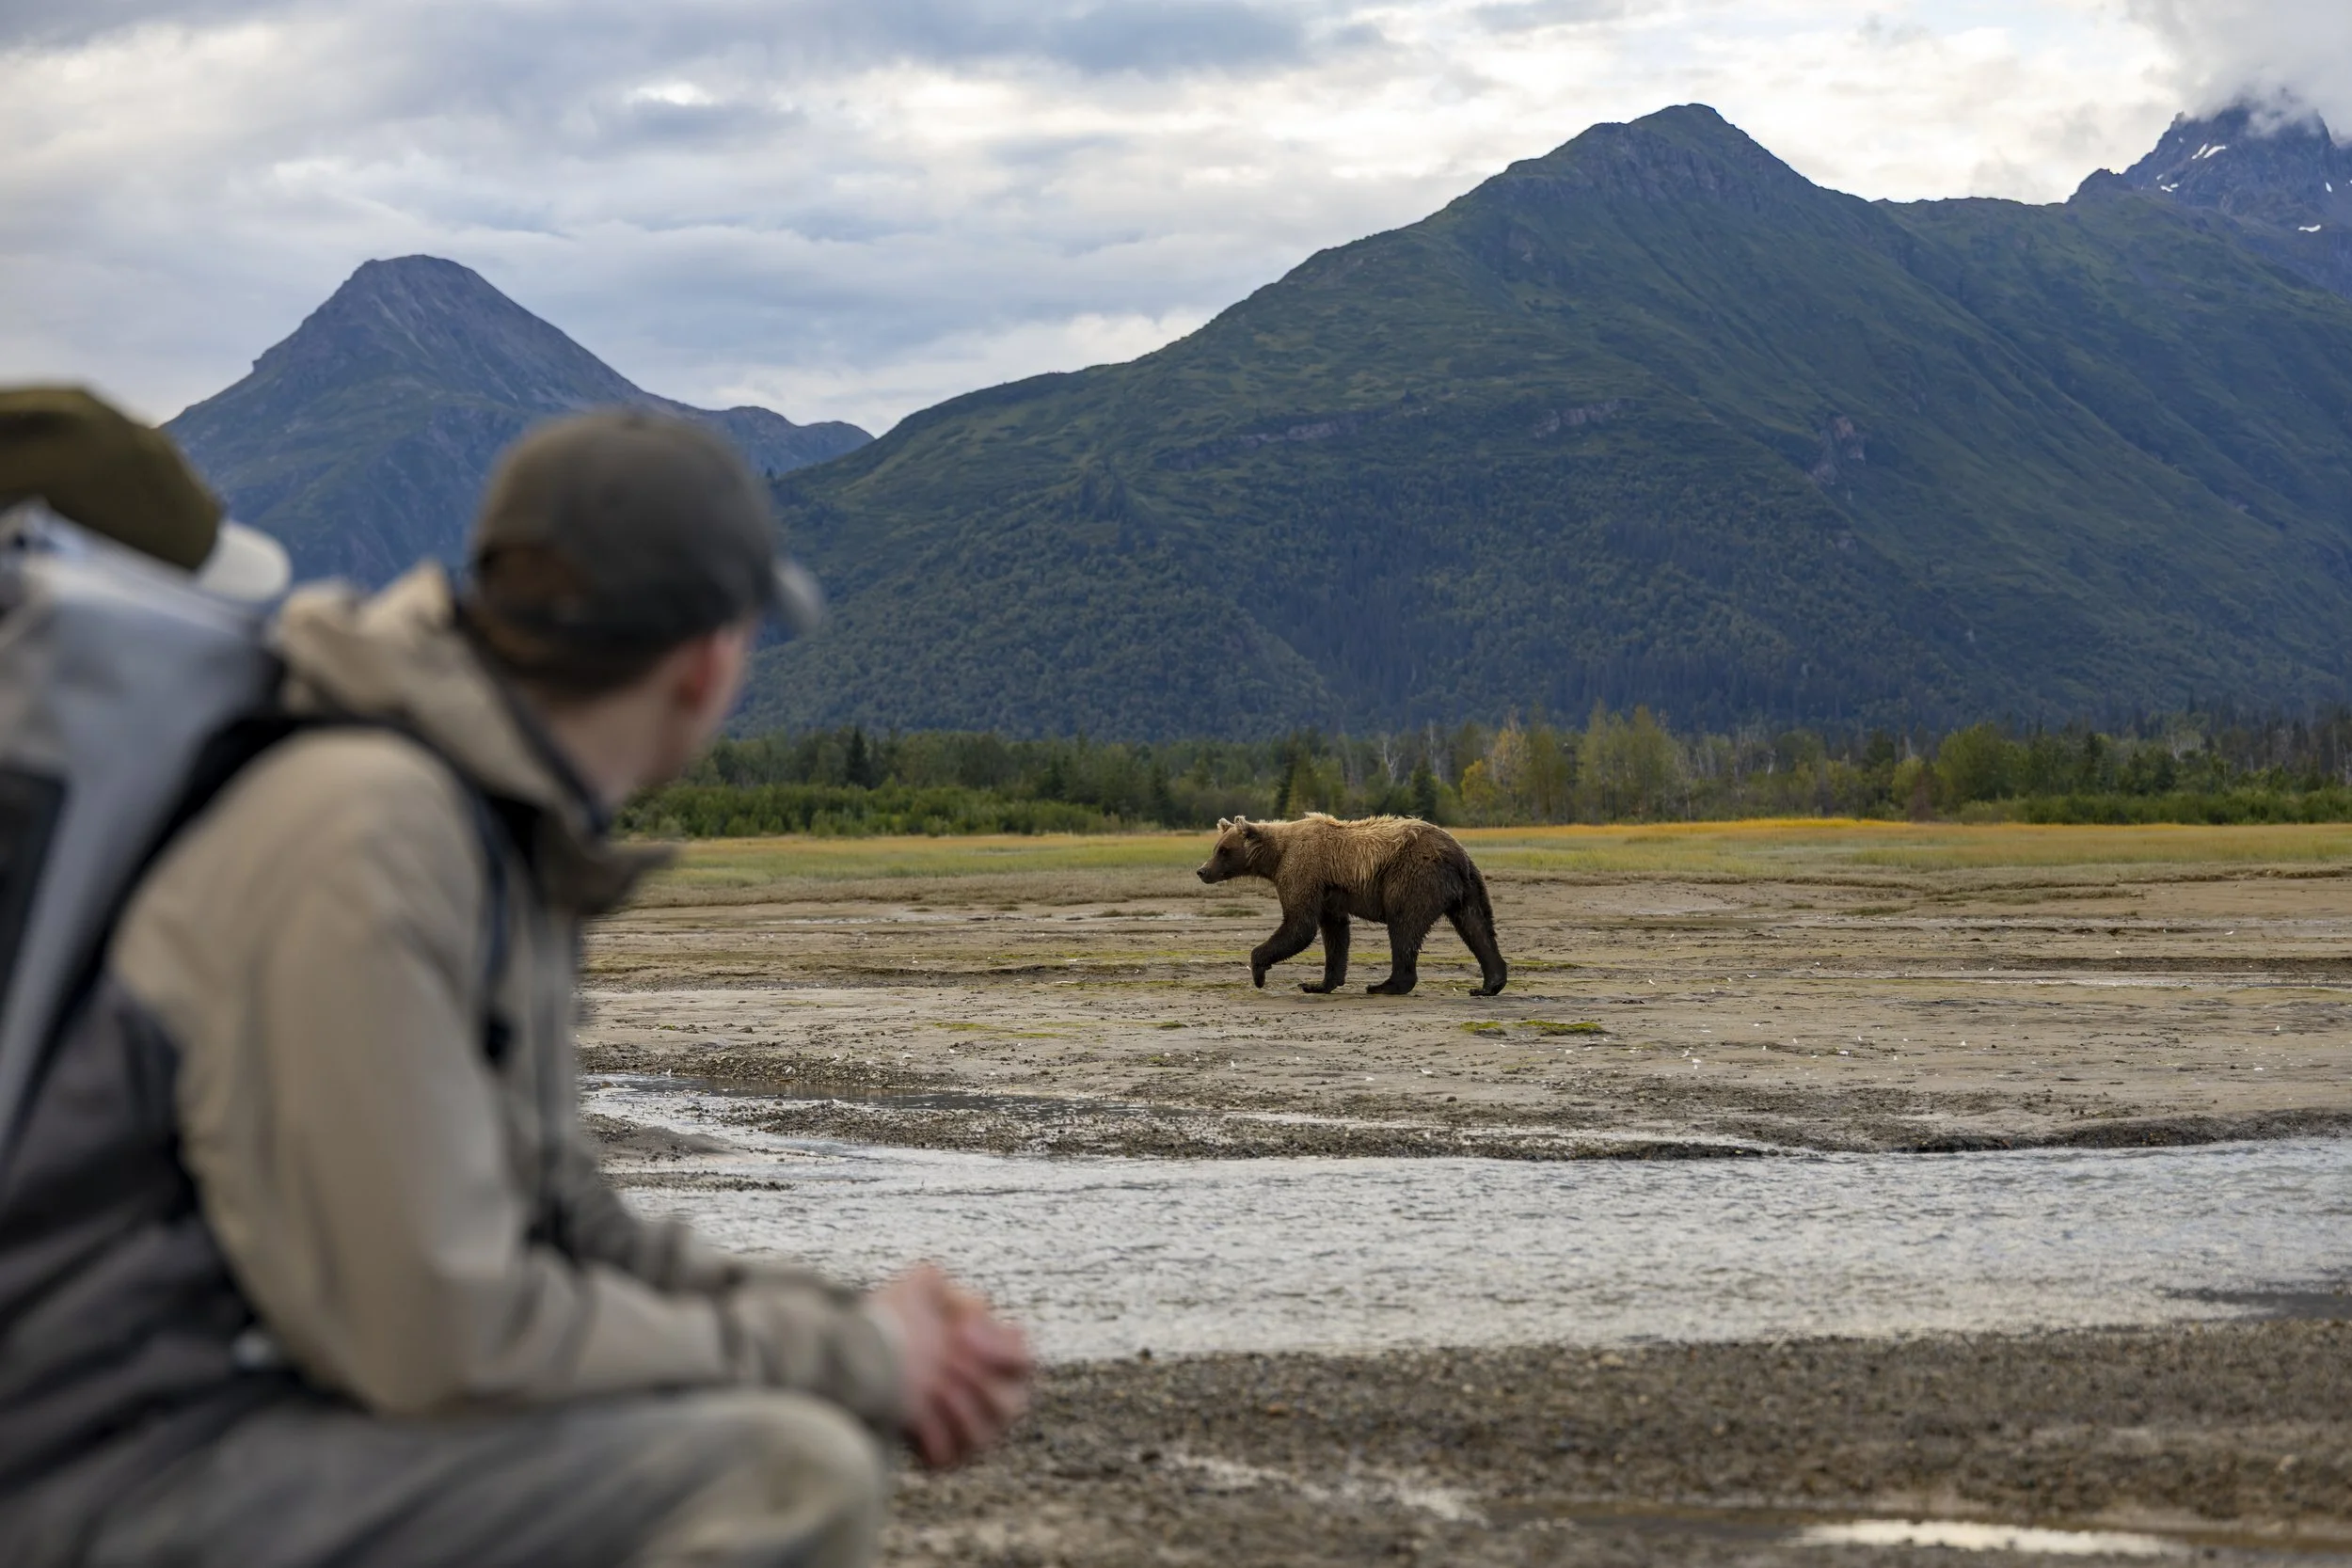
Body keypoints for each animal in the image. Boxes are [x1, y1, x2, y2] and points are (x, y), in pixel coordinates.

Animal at [1195, 813, 1508, 997]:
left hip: (1412, 877)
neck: (1276, 856)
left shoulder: (1302, 872)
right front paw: (1319, 983)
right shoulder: (1328, 893)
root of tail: (1456, 853)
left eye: (1224, 850)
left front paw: (1259, 970)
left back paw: (1385, 985)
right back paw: (1489, 984)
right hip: (1470, 887)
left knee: (1404, 926)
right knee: (1477, 926)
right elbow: (1335, 933)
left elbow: (1299, 926)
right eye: (1215, 848)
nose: (1202, 870)